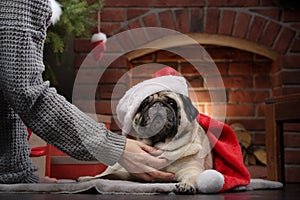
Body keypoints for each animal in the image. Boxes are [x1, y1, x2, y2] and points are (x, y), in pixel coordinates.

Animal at [78, 90, 212, 194]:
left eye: (171, 102)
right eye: (145, 104)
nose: (158, 104)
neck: (159, 145)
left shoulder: (191, 169)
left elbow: (191, 177)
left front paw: (186, 185)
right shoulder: (128, 173)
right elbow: (102, 177)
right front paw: (88, 180)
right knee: (104, 173)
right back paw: (85, 178)